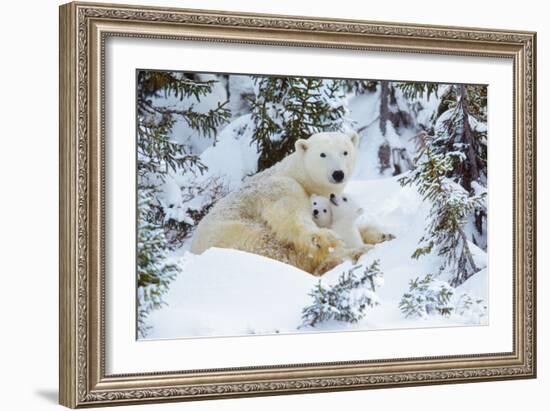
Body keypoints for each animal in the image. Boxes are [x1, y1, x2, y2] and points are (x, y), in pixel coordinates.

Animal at [194, 130, 384, 276]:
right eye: (322, 154)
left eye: (345, 152)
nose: (338, 173)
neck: (300, 176)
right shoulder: (281, 186)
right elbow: (290, 215)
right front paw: (325, 239)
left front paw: (380, 233)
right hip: (239, 233)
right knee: (277, 248)